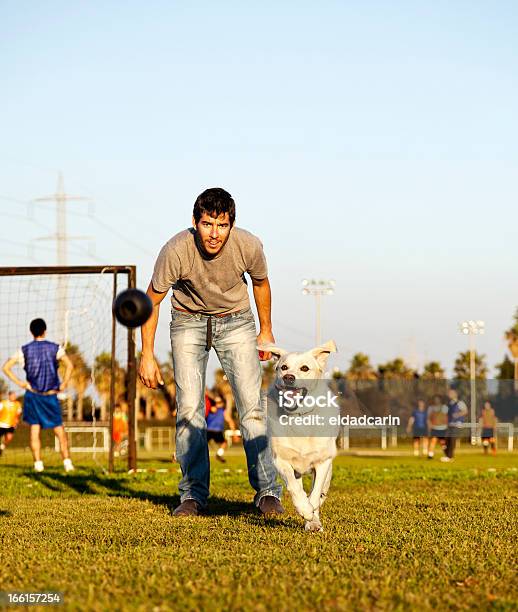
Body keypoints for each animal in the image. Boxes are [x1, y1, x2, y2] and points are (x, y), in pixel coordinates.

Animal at [264, 342, 342, 532]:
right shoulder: (281, 460)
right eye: (283, 367)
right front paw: (304, 509)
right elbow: (294, 488)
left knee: (321, 491)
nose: (288, 377)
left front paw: (312, 517)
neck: (298, 416)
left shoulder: (323, 462)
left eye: (305, 368)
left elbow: (315, 494)